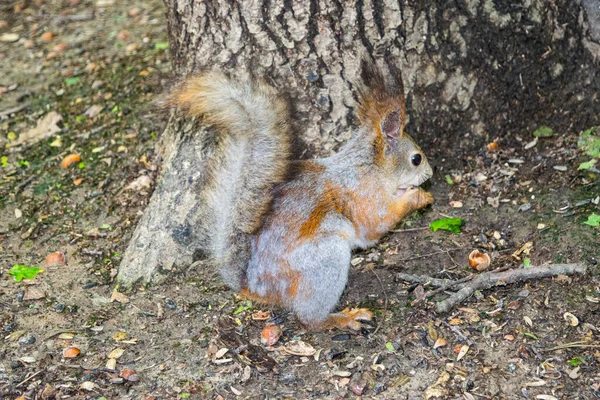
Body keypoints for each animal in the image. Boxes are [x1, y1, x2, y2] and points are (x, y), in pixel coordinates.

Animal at [162, 58, 434, 328]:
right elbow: (376, 224)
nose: (430, 174)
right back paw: (343, 318)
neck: (369, 167)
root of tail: (254, 285)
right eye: (416, 159)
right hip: (326, 259)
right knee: (309, 318)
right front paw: (419, 197)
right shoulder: (364, 195)